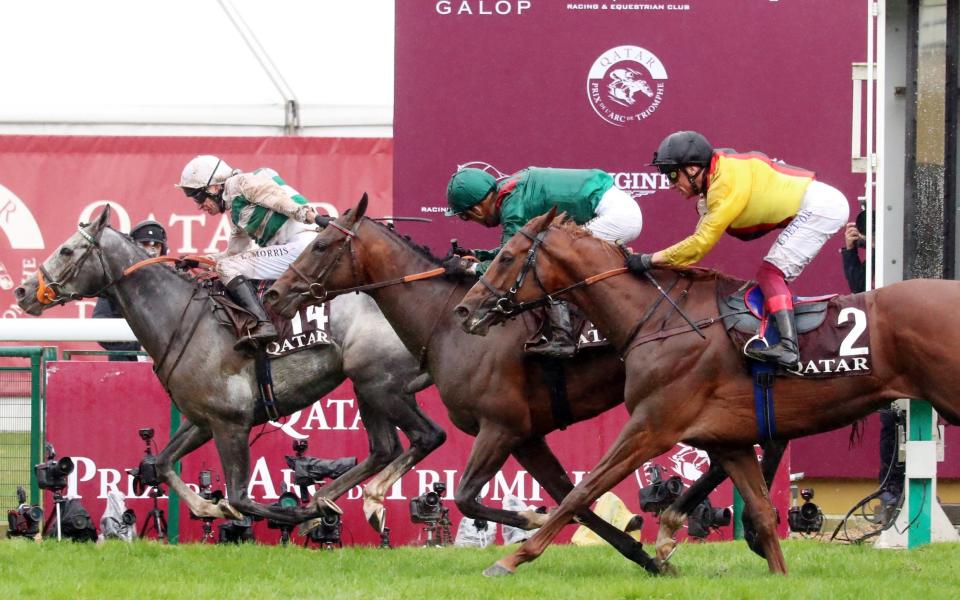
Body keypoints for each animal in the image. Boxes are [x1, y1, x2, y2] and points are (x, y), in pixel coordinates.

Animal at [14, 207, 446, 528]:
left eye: (67, 250)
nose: (22, 291)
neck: (181, 319)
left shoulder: (231, 422)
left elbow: (242, 499)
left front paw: (285, 512)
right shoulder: (203, 419)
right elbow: (162, 463)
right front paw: (209, 506)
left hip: (380, 384)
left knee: (428, 436)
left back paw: (360, 502)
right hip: (365, 386)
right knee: (385, 447)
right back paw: (330, 499)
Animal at [266, 196, 784, 572]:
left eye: (319, 245)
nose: (274, 292)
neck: (446, 322)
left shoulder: (501, 427)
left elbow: (469, 497)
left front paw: (533, 521)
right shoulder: (527, 437)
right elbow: (572, 496)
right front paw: (643, 555)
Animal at [454, 210, 960, 576]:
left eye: (506, 256)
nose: (465, 309)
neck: (657, 318)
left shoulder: (651, 426)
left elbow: (582, 491)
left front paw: (510, 560)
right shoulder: (729, 440)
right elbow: (761, 513)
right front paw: (776, 574)